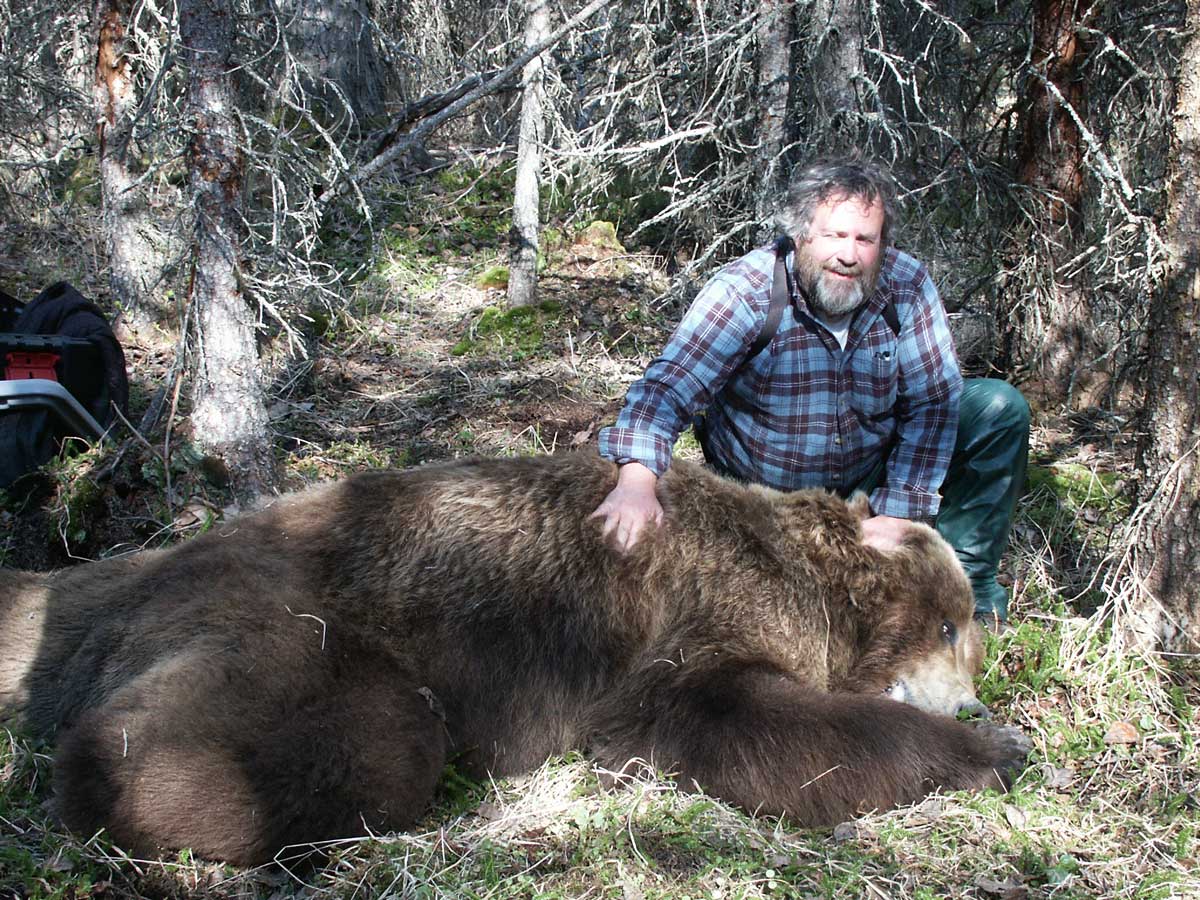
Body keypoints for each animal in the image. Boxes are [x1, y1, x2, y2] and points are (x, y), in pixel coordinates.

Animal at [0, 452, 1029, 865]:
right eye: (952, 626)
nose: (977, 705)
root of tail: (156, 564)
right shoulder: (696, 615)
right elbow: (732, 719)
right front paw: (998, 753)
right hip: (297, 623)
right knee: (370, 740)